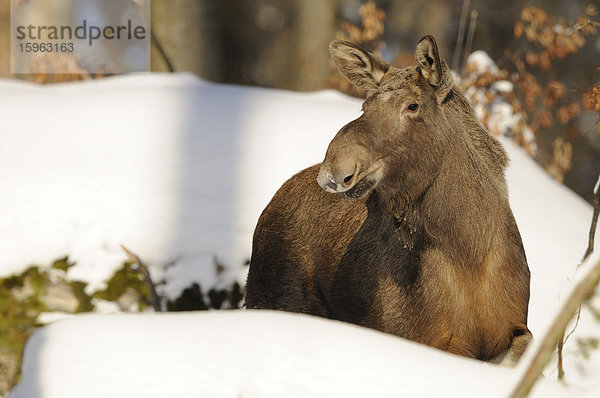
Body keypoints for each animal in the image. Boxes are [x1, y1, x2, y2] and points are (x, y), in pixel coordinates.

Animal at [246, 35, 532, 366]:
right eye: (365, 105)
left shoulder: (513, 328)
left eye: (412, 105)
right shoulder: (425, 338)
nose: (335, 169)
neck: (470, 251)